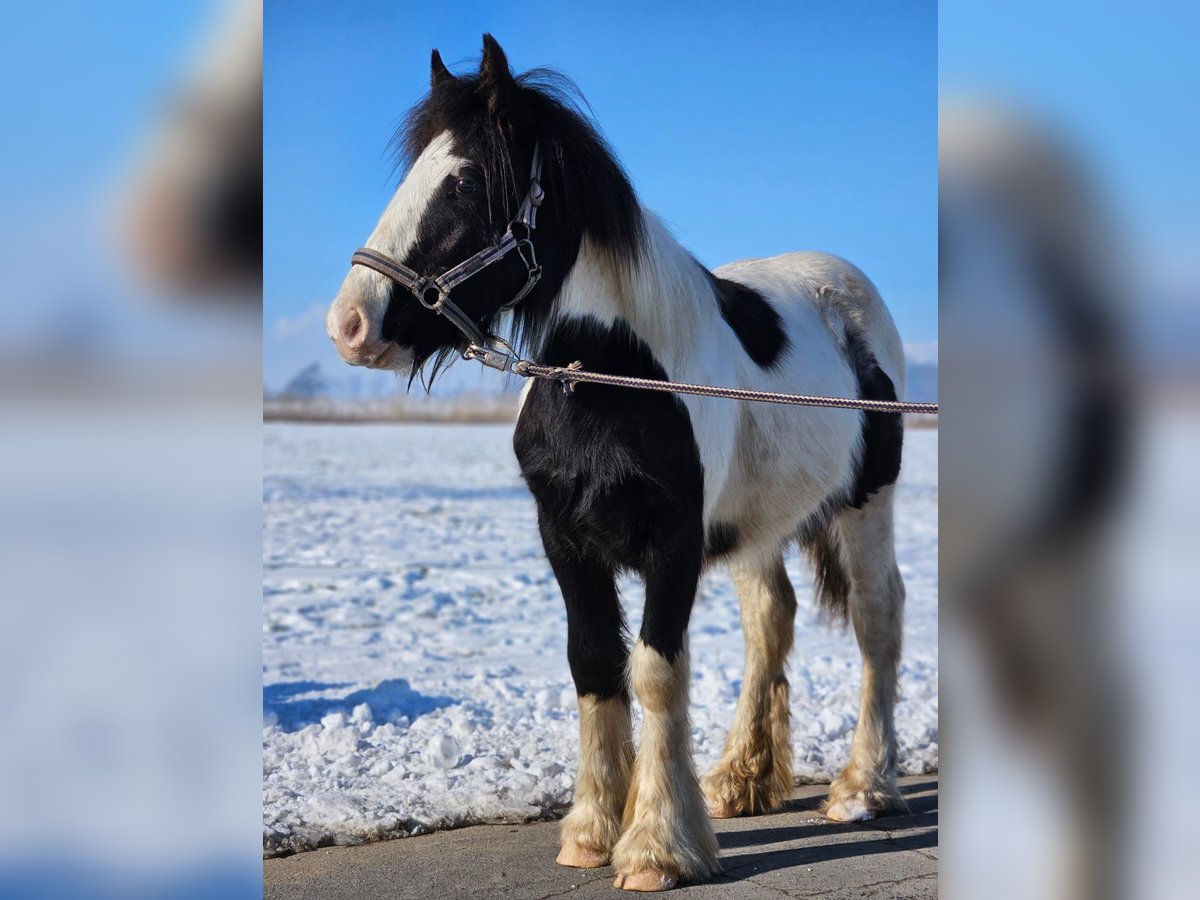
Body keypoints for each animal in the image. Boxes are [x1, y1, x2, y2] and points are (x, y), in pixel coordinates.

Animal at [328, 37, 907, 897]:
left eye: (462, 181)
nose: (349, 323)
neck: (610, 375)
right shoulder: (564, 538)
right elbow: (595, 665)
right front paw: (593, 831)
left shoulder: (674, 542)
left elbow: (657, 671)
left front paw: (656, 847)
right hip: (757, 527)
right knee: (771, 621)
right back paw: (740, 779)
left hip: (869, 506)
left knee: (877, 620)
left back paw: (863, 789)